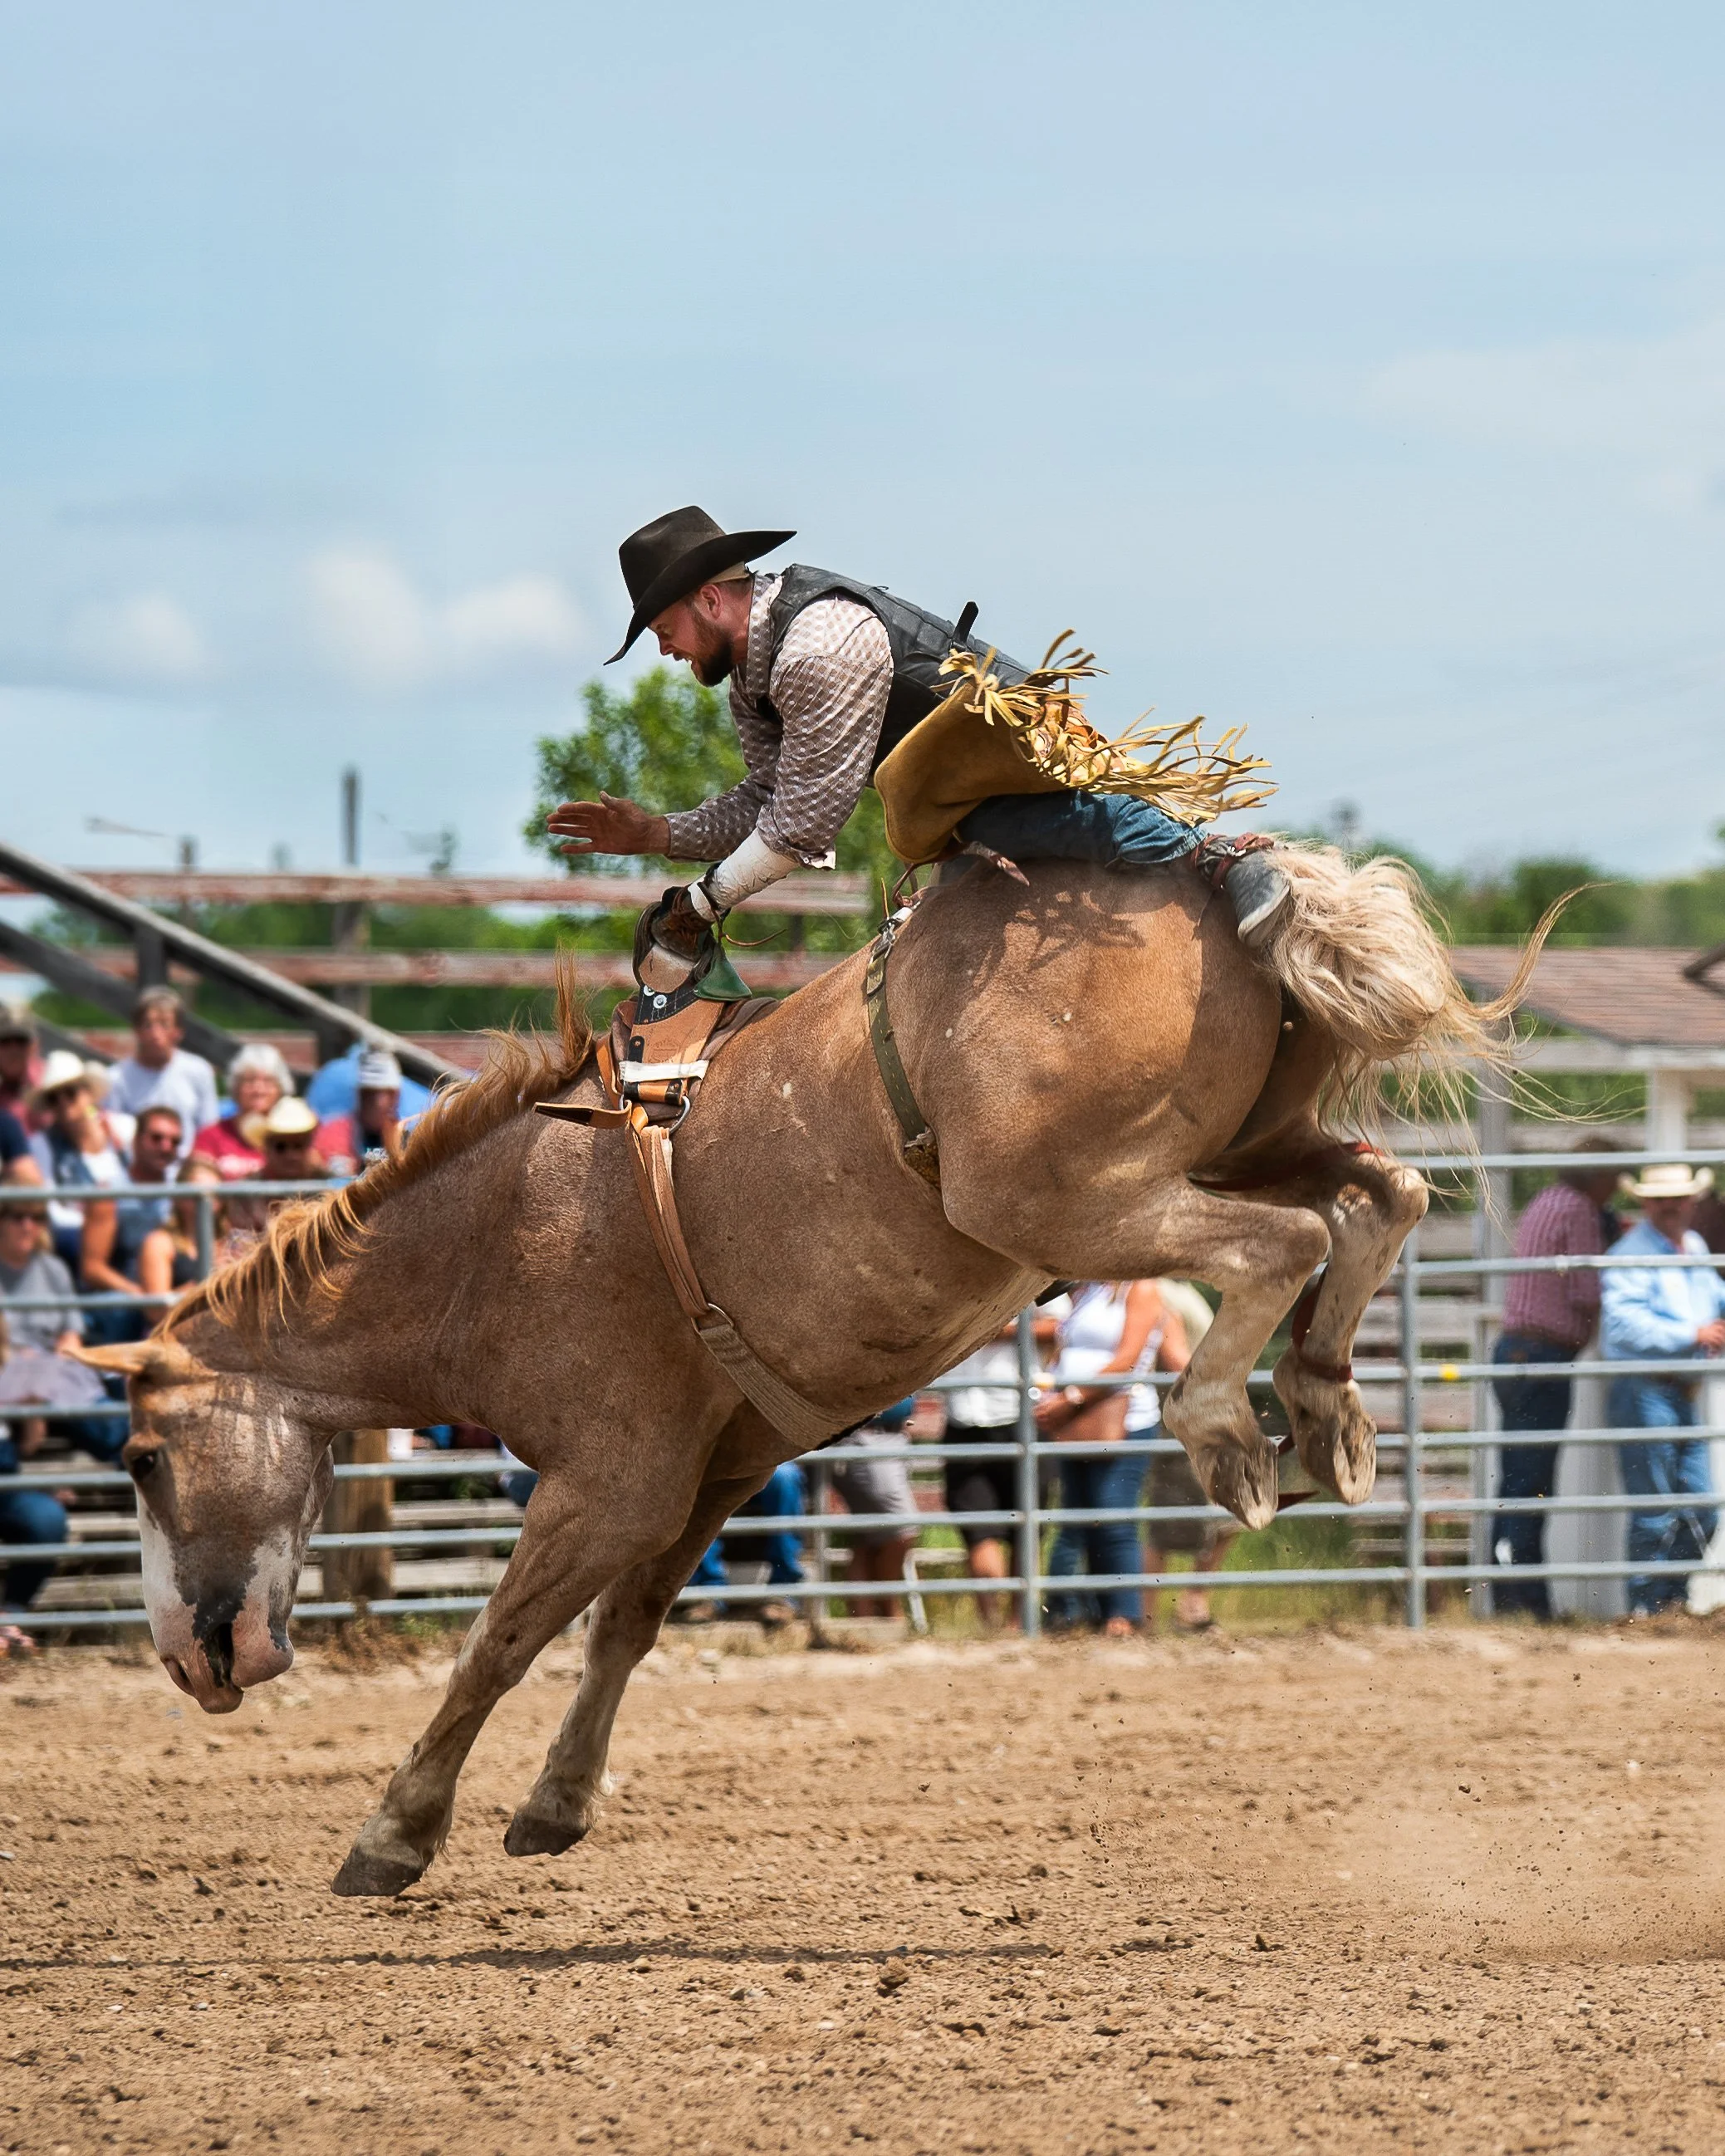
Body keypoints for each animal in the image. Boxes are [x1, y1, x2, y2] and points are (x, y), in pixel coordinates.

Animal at [75, 845, 1528, 1897]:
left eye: (142, 1457)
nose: (189, 1661)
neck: (498, 1235)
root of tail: (1235, 880)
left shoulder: (608, 1479)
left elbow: (498, 1643)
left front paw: (393, 1834)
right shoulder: (712, 1470)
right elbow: (624, 1628)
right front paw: (553, 1806)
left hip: (1075, 1199)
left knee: (1286, 1239)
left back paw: (1232, 1431)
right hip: (1245, 1142)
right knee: (1379, 1195)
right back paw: (1330, 1408)